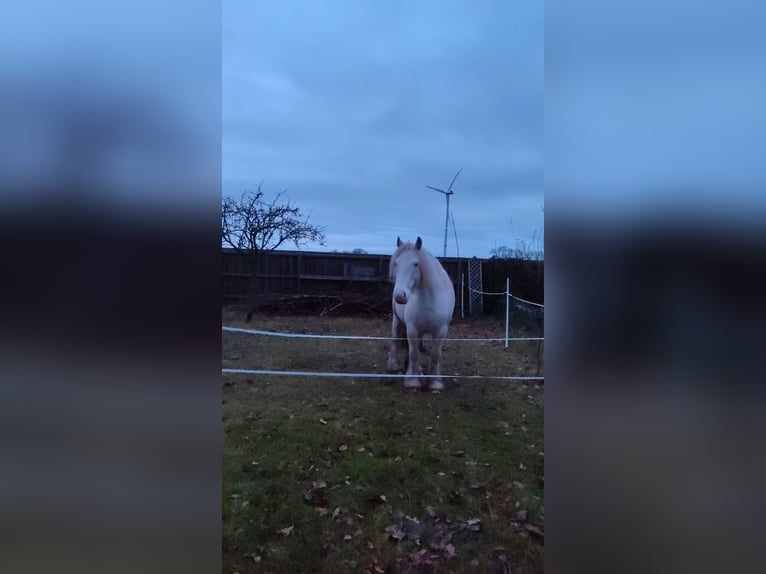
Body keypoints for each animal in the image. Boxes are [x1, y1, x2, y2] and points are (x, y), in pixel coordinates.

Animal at [388, 237, 452, 392]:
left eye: (415, 264)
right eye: (396, 263)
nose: (399, 296)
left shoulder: (441, 330)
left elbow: (435, 355)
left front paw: (435, 381)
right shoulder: (412, 329)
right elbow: (413, 353)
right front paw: (412, 380)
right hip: (397, 320)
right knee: (396, 339)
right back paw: (394, 365)